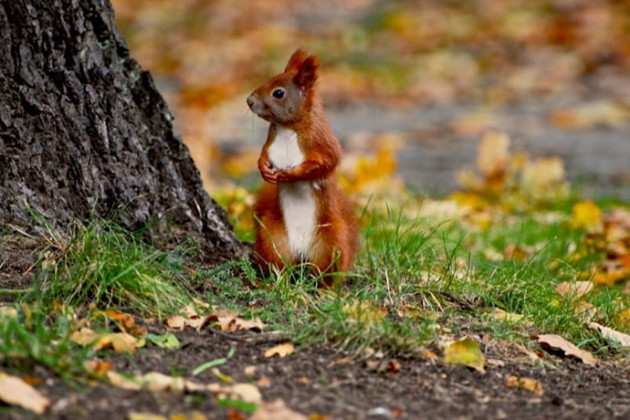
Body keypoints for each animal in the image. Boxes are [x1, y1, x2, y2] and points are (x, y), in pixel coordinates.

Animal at [246, 48, 358, 286]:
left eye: (278, 93)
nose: (249, 101)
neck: (288, 127)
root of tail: (301, 253)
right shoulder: (270, 143)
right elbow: (262, 156)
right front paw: (265, 170)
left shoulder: (322, 140)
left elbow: (326, 162)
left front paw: (291, 174)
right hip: (272, 239)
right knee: (278, 265)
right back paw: (273, 282)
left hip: (331, 242)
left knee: (326, 272)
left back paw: (325, 288)